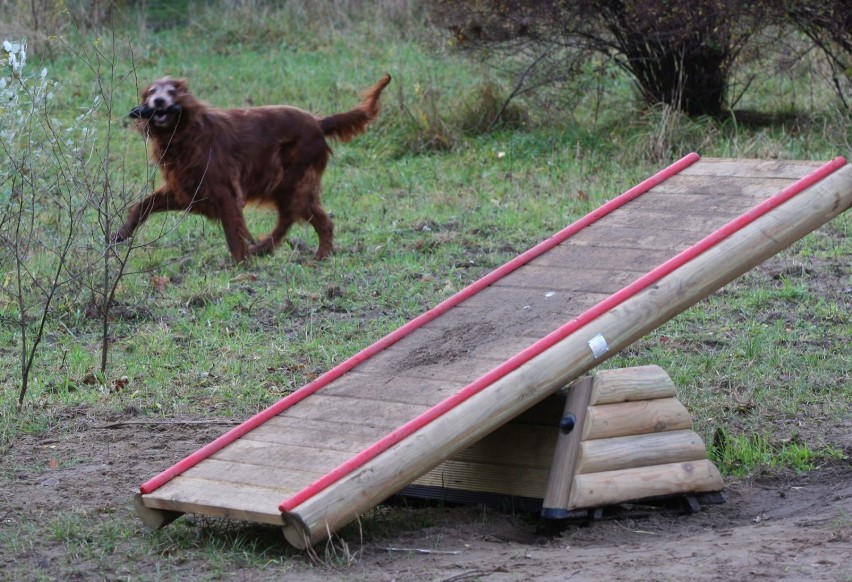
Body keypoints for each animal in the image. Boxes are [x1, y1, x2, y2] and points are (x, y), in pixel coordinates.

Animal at [115, 74, 392, 262]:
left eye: (172, 90)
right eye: (152, 91)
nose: (159, 101)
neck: (187, 132)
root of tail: (318, 122)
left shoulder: (224, 191)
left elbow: (232, 230)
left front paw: (240, 263)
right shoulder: (184, 189)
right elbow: (143, 204)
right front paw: (120, 235)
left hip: (290, 182)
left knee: (301, 218)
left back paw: (301, 253)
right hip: (287, 186)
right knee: (306, 218)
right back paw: (273, 249)